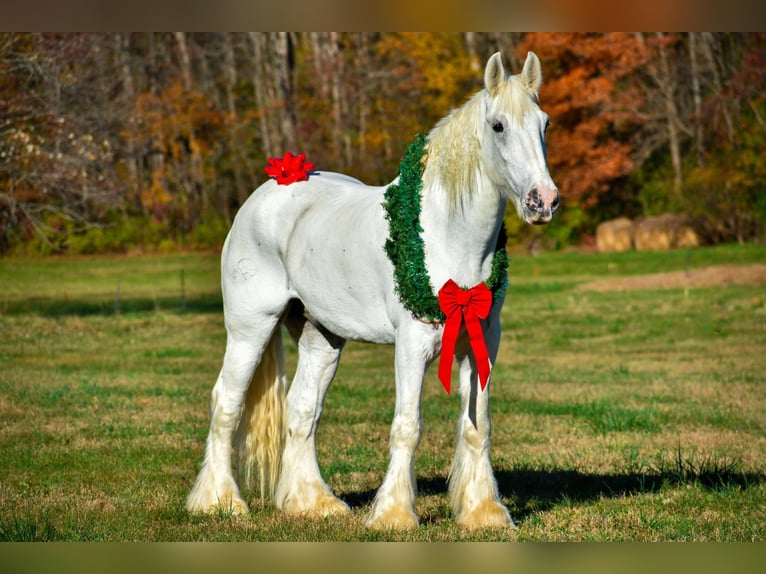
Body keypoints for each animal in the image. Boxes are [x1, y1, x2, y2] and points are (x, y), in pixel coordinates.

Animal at [186, 50, 560, 532]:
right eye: (498, 126)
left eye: (545, 123)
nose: (543, 201)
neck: (448, 236)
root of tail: (271, 188)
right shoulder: (412, 344)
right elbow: (407, 427)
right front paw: (394, 515)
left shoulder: (482, 342)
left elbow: (477, 426)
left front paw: (484, 513)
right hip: (250, 328)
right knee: (227, 404)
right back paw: (220, 502)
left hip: (320, 337)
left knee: (301, 410)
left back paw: (312, 503)